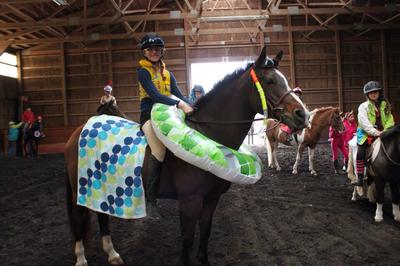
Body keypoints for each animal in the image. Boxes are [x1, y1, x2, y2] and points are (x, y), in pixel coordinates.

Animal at [64, 46, 310, 266]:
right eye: (269, 81)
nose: (303, 115)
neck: (209, 131)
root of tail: (79, 130)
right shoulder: (189, 201)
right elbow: (187, 238)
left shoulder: (211, 199)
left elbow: (205, 231)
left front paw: (204, 260)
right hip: (80, 187)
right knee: (78, 220)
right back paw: (81, 259)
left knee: (102, 215)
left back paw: (113, 255)